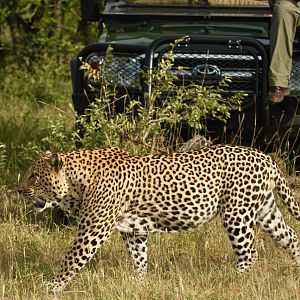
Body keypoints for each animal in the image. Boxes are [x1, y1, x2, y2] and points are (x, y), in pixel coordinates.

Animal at [18, 144, 300, 292]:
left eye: (34, 176)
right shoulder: (133, 231)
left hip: (236, 214)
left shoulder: (93, 230)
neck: (76, 183)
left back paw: (233, 281)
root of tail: (264, 157)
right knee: (292, 238)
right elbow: (139, 259)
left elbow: (71, 261)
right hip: (265, 211)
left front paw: (48, 288)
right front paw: (139, 284)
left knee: (249, 253)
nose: (18, 191)